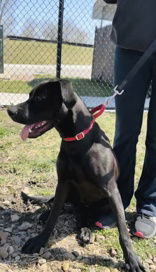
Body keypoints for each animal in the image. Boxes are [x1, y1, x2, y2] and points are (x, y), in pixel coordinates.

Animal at [7, 79, 144, 270]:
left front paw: (131, 259)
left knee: (85, 218)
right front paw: (39, 240)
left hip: (103, 204)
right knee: (62, 208)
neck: (77, 141)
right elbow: (53, 217)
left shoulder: (111, 191)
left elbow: (123, 231)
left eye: (40, 97)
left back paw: (86, 232)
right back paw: (47, 214)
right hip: (71, 193)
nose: (9, 110)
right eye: (29, 96)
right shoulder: (63, 183)